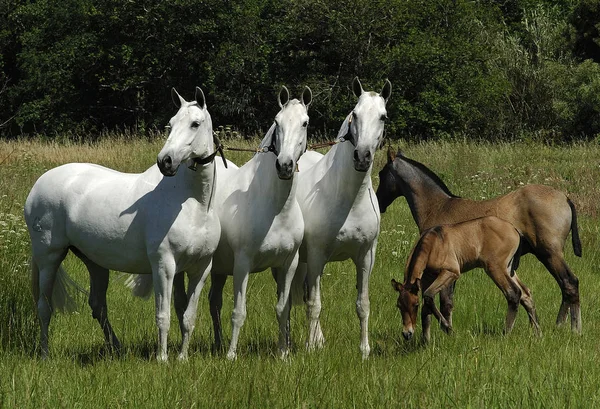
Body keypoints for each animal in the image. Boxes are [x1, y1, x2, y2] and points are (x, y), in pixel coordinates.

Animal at [24, 87, 223, 360]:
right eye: (171, 124)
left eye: (195, 123)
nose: (166, 161)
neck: (194, 206)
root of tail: (37, 186)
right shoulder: (164, 265)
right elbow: (163, 316)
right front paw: (162, 359)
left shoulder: (200, 268)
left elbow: (188, 317)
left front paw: (182, 358)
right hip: (49, 257)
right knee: (45, 306)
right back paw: (45, 354)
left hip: (94, 262)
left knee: (97, 306)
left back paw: (116, 348)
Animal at [292, 76, 392, 356]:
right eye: (354, 115)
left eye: (383, 116)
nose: (362, 156)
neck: (349, 200)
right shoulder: (317, 255)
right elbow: (314, 304)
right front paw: (310, 350)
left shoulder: (366, 257)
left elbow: (363, 304)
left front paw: (364, 350)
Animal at [392, 215, 540, 342]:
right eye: (398, 305)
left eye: (415, 305)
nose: (407, 333)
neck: (433, 244)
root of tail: (514, 230)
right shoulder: (426, 279)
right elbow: (427, 308)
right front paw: (426, 342)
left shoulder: (451, 272)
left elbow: (429, 297)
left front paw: (448, 329)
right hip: (509, 269)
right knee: (526, 294)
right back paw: (537, 332)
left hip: (495, 268)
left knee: (513, 293)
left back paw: (506, 333)